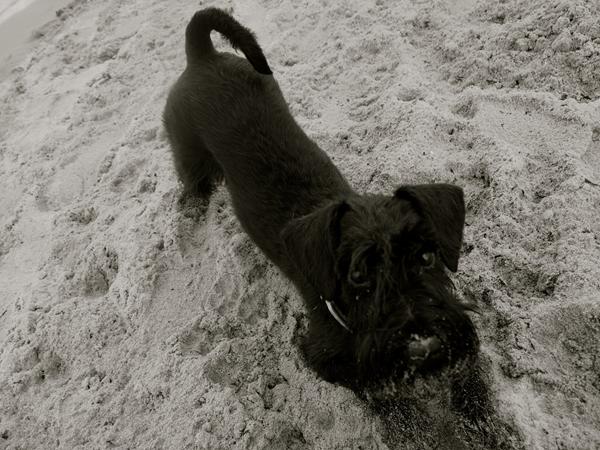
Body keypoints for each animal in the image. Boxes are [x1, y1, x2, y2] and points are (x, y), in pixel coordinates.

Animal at [164, 7, 482, 406]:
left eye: (427, 257)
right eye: (358, 275)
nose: (423, 346)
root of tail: (201, 55)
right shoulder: (334, 359)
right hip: (189, 154)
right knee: (192, 184)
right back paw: (192, 211)